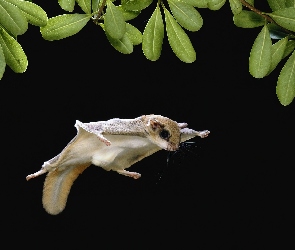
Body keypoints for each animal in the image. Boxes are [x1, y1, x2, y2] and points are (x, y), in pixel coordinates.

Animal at [26, 114, 210, 214]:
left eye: (178, 137)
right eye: (165, 134)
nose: (175, 148)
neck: (146, 134)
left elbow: (189, 132)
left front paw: (201, 133)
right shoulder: (120, 126)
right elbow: (92, 127)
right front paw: (102, 138)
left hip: (117, 160)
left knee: (114, 168)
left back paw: (131, 173)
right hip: (66, 154)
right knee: (51, 165)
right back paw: (38, 172)